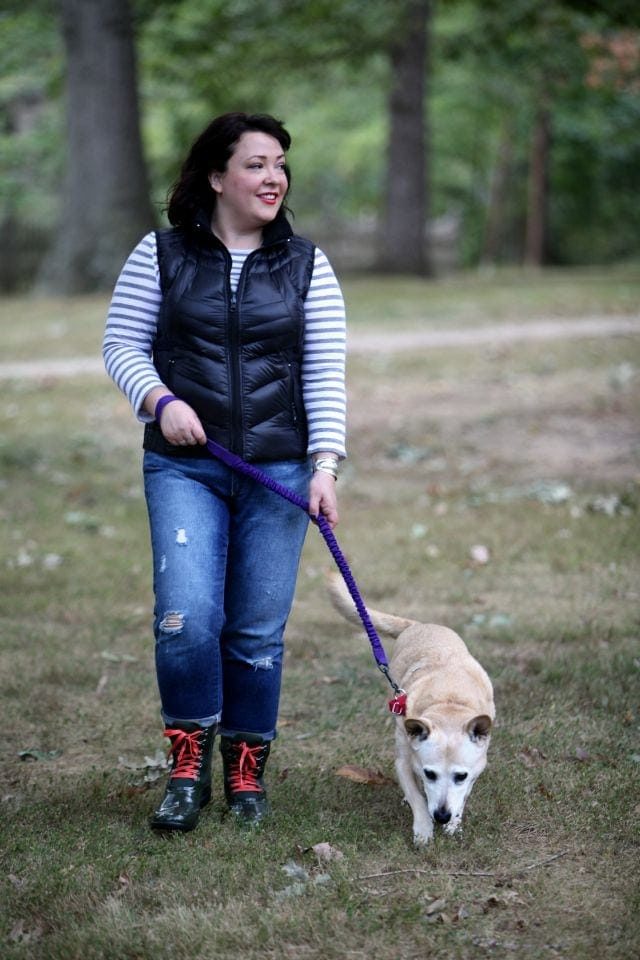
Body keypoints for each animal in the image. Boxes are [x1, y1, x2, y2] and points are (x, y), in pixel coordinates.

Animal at [330, 572, 496, 844]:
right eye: (430, 774)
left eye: (460, 776)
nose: (441, 816)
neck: (448, 699)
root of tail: (417, 624)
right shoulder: (403, 761)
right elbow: (417, 796)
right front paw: (424, 829)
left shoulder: (477, 766)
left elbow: (463, 794)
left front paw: (454, 824)